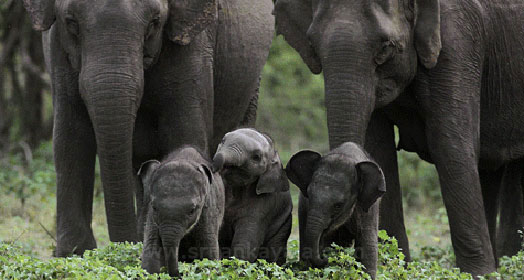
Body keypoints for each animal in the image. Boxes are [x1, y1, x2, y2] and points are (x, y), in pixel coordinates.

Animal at [22, 0, 272, 258]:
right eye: (71, 21)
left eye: (154, 22)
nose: (126, 246)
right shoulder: (57, 48)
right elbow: (71, 139)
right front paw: (74, 253)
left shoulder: (193, 46)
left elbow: (185, 135)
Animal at [138, 148, 224, 276]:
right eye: (154, 207)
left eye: (192, 210)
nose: (180, 274)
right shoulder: (151, 218)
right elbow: (151, 251)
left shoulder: (208, 209)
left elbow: (208, 253)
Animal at [286, 143, 384, 278]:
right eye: (309, 196)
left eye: (338, 205)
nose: (326, 258)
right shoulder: (304, 206)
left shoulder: (369, 209)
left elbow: (367, 247)